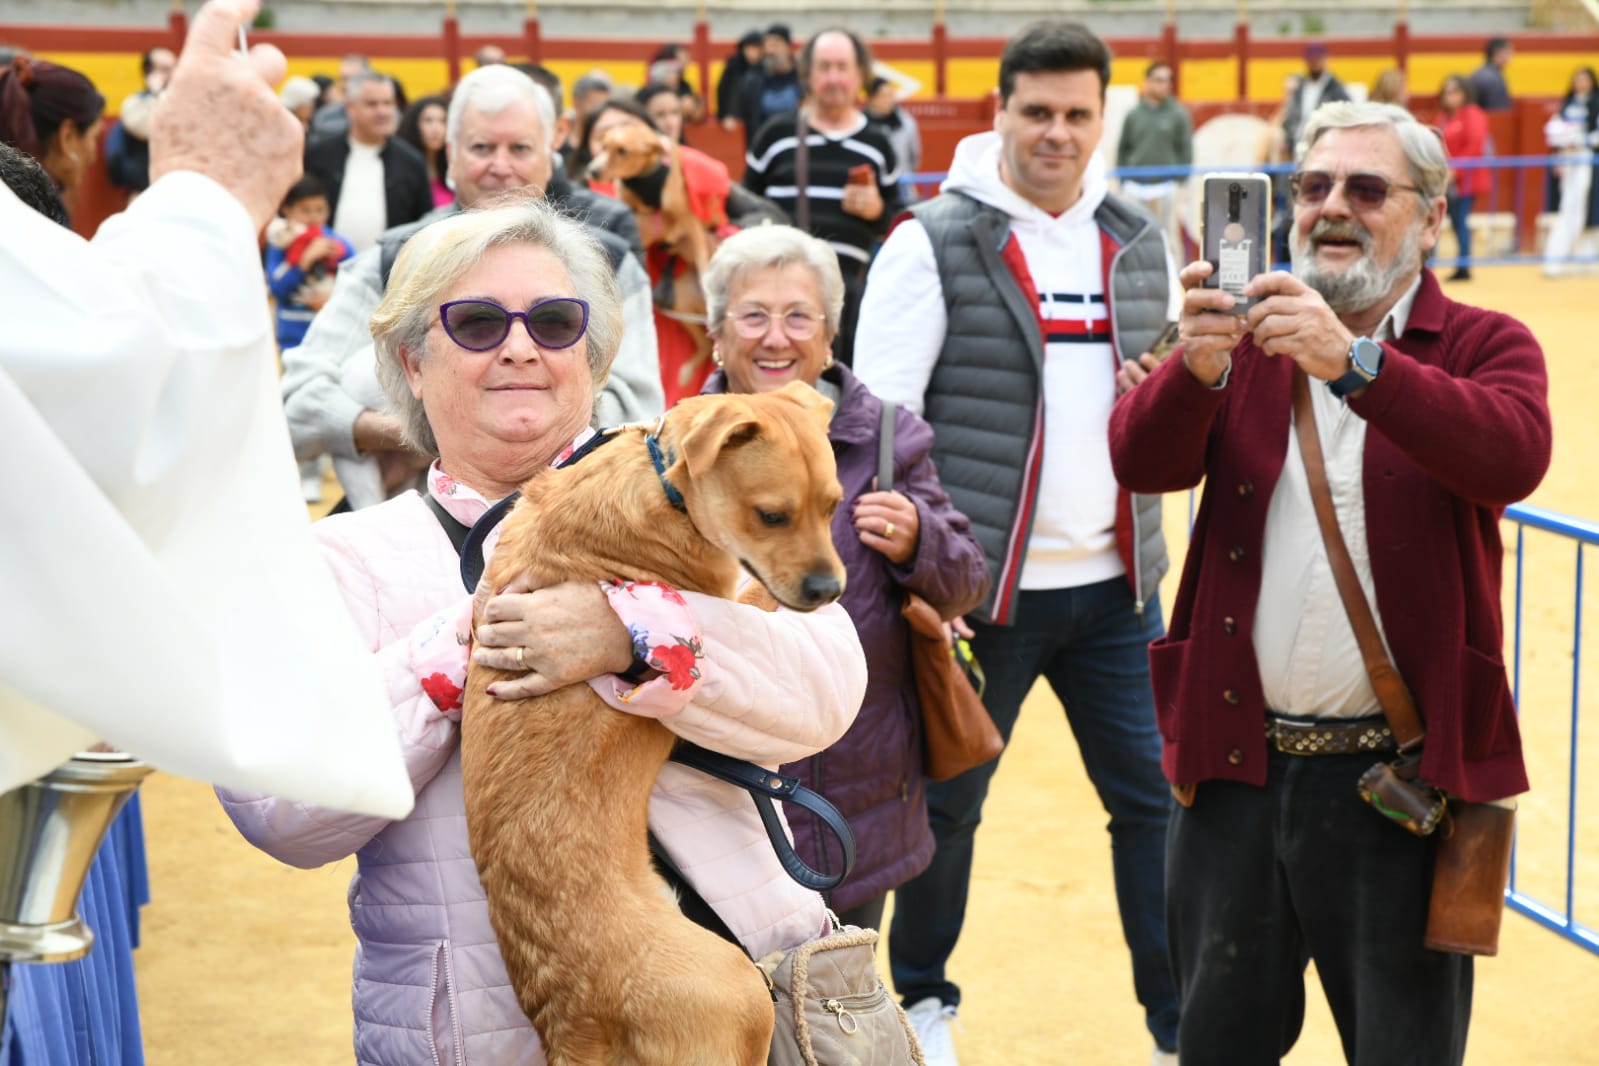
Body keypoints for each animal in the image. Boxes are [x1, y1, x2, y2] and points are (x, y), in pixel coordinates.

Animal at [460, 385, 850, 1066]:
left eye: (833, 505)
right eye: (771, 516)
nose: (831, 589)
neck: (662, 480)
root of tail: (572, 1020)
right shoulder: (726, 592)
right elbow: (754, 600)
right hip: (740, 998)